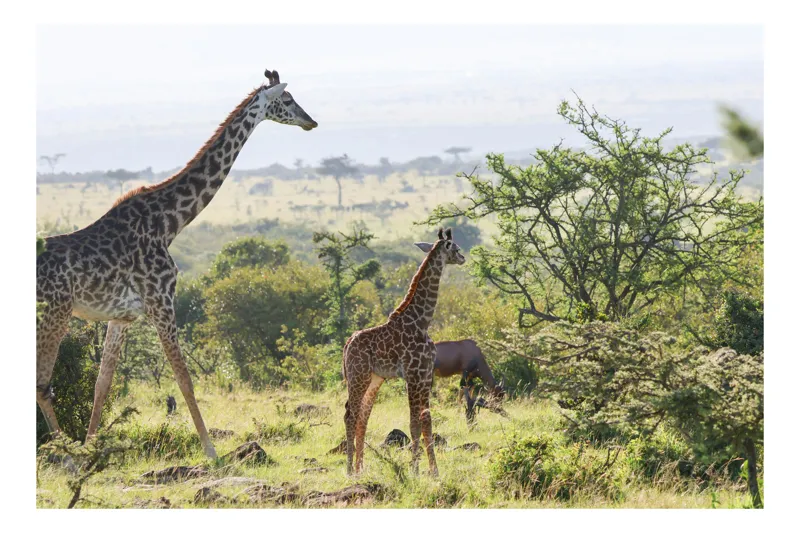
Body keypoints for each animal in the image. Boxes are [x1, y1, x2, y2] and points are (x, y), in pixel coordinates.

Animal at [36, 69, 317, 458]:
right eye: (288, 100)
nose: (311, 122)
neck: (169, 222)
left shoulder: (122, 317)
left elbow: (102, 384)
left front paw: (93, 447)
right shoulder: (162, 302)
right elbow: (184, 379)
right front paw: (212, 451)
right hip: (55, 313)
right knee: (41, 382)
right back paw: (64, 451)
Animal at [342, 228, 465, 476]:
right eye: (456, 248)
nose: (463, 258)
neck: (422, 321)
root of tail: (348, 343)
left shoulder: (426, 375)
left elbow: (426, 420)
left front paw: (434, 471)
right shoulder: (413, 375)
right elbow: (413, 422)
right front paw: (415, 469)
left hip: (373, 379)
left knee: (362, 417)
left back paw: (361, 468)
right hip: (358, 376)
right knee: (350, 415)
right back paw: (350, 469)